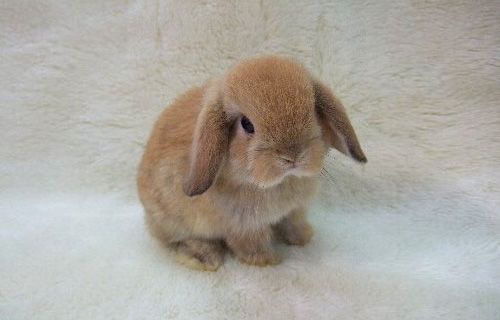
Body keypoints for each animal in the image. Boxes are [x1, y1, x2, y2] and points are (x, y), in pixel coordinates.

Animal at [138, 55, 368, 270]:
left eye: (312, 109)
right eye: (247, 124)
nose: (293, 156)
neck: (280, 182)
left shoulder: (295, 210)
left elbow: (293, 224)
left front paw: (304, 238)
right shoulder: (245, 226)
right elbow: (249, 245)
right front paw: (268, 261)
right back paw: (205, 258)